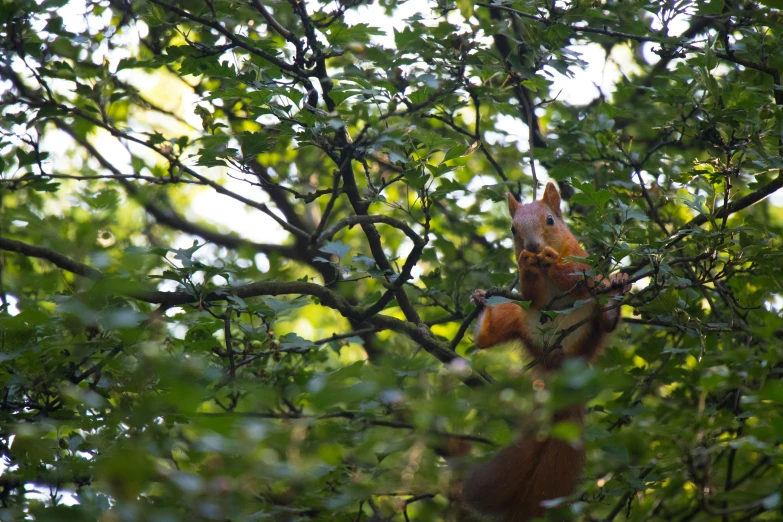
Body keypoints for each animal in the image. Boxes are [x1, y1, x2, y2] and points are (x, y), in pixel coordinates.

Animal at [462, 182, 628, 520]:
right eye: (512, 229)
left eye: (550, 220)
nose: (533, 247)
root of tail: (562, 364)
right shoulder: (531, 298)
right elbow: (531, 293)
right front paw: (527, 264)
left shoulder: (584, 264)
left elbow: (577, 274)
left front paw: (553, 260)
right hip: (519, 317)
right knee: (489, 337)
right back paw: (483, 308)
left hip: (592, 322)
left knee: (604, 321)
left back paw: (616, 291)